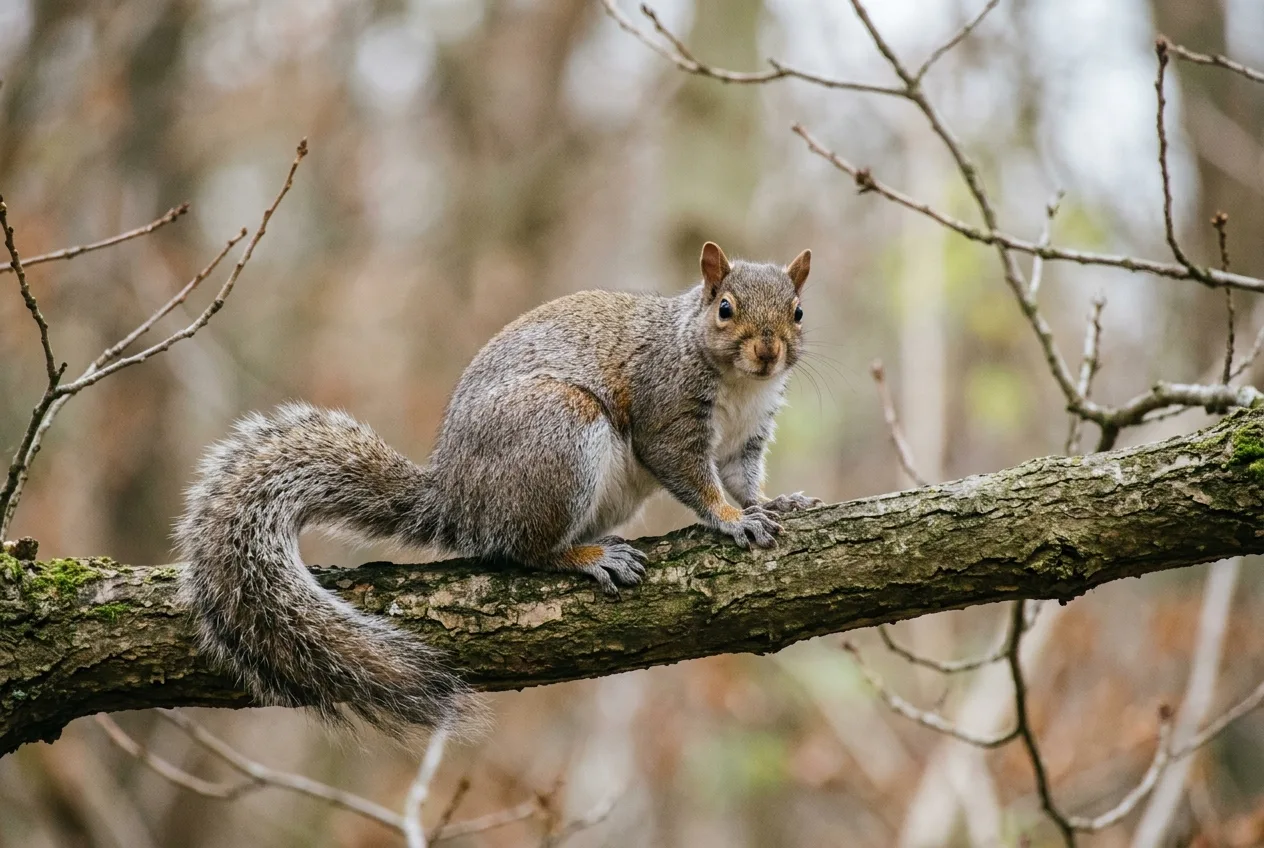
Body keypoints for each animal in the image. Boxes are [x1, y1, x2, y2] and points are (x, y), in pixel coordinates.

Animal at [175, 241, 820, 735]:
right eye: (725, 308)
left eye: (798, 312)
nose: (768, 352)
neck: (740, 384)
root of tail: (454, 497)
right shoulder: (667, 412)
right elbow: (691, 475)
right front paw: (731, 520)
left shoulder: (746, 439)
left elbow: (742, 479)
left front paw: (772, 503)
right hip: (560, 432)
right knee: (521, 549)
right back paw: (585, 556)